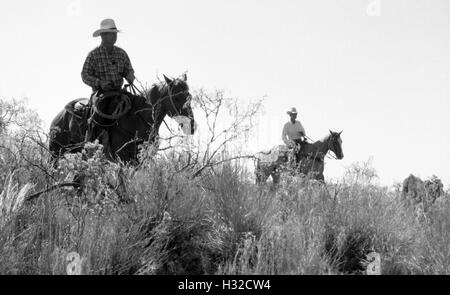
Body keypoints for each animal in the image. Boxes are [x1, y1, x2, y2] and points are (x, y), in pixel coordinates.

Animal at [49, 73, 195, 163]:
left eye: (190, 96)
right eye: (176, 97)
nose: (192, 126)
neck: (136, 119)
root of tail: (57, 118)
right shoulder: (123, 158)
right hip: (55, 153)